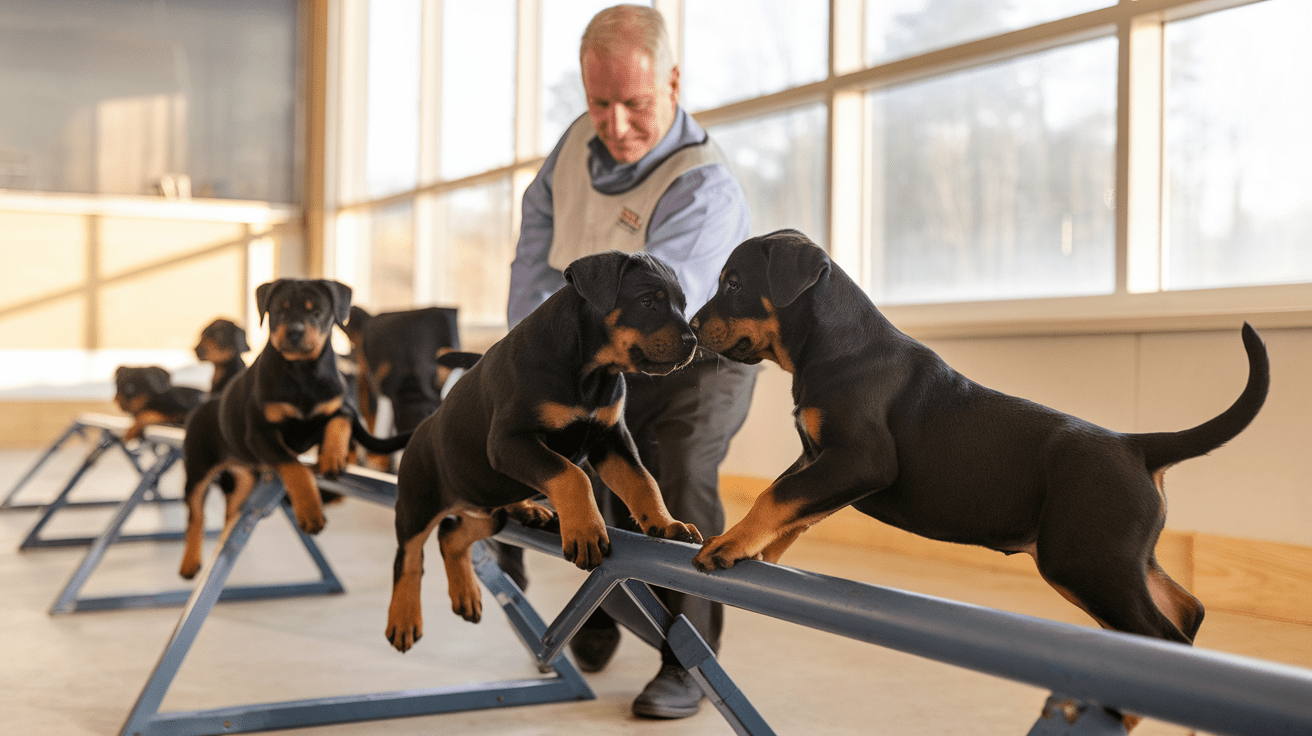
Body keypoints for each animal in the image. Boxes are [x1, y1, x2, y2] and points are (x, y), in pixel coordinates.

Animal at [177, 278, 406, 577]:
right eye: (279, 311)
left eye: (317, 311)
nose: (295, 332)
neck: (302, 371)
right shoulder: (260, 433)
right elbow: (295, 468)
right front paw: (310, 512)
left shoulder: (341, 407)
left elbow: (338, 423)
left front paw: (332, 456)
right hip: (198, 470)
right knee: (195, 515)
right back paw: (190, 562)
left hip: (245, 477)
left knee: (232, 508)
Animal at [383, 250, 703, 648]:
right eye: (648, 302)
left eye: (682, 305)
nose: (693, 342)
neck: (591, 371)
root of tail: (420, 430)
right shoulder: (509, 442)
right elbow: (572, 474)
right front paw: (585, 530)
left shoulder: (611, 438)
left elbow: (642, 481)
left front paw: (666, 524)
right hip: (418, 504)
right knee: (409, 557)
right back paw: (404, 619)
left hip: (487, 507)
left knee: (452, 538)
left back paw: (471, 587)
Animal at [692, 229, 1264, 648]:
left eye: (734, 284)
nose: (692, 326)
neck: (831, 346)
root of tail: (1137, 445)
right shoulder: (820, 459)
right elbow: (791, 501)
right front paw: (756, 550)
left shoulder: (861, 459)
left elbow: (777, 494)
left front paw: (726, 544)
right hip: (1118, 556)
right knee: (1187, 607)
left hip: (1084, 561)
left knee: (1165, 635)